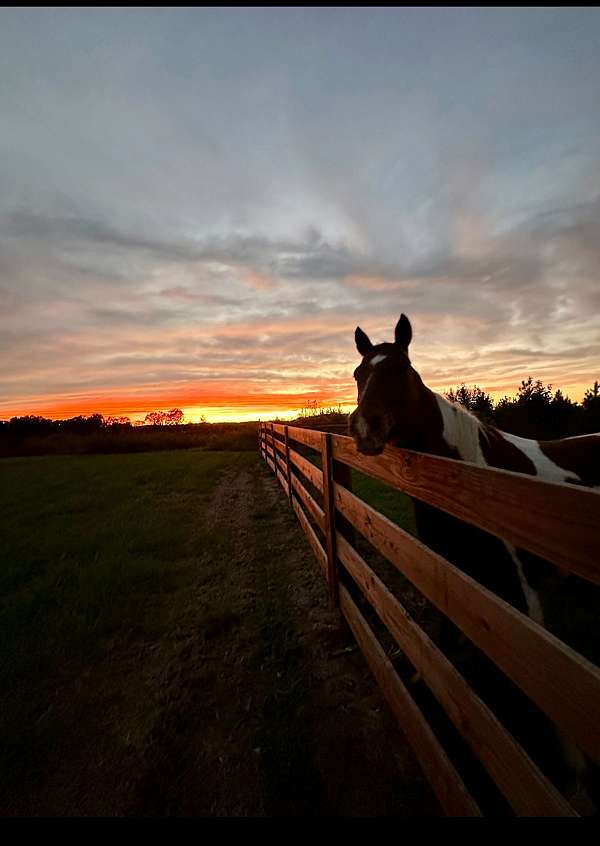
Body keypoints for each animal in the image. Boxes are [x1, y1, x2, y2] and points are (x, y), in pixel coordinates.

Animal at [346, 314, 600, 812]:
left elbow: (551, 685)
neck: (477, 484)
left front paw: (573, 772)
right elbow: (443, 640)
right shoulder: (449, 571)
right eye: (358, 374)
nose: (365, 427)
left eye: (402, 369)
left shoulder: (524, 597)